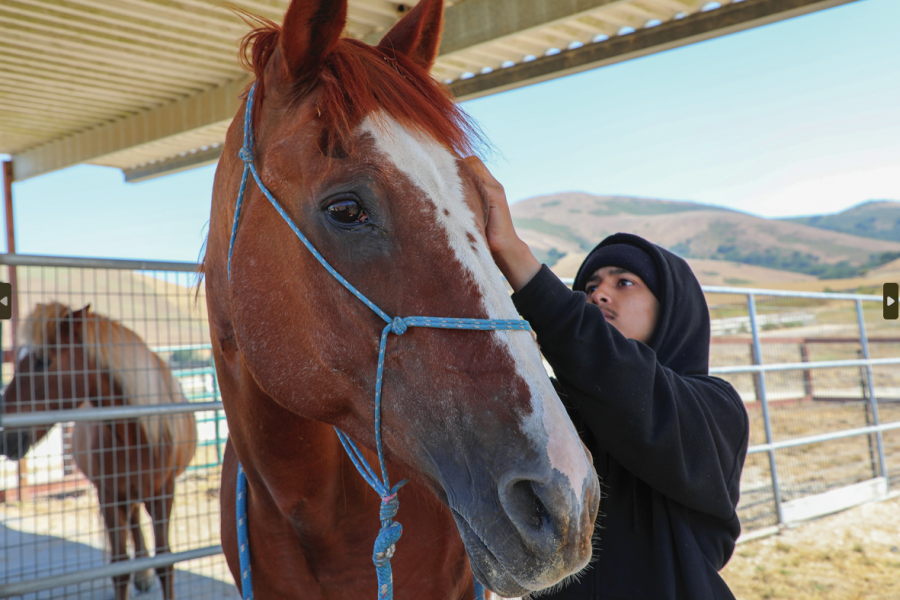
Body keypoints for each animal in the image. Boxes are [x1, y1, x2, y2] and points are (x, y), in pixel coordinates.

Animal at [0, 302, 198, 600]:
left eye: (43, 361)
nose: (5, 439)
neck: (136, 436)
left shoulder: (164, 493)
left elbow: (165, 562)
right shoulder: (109, 495)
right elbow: (120, 568)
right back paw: (142, 575)